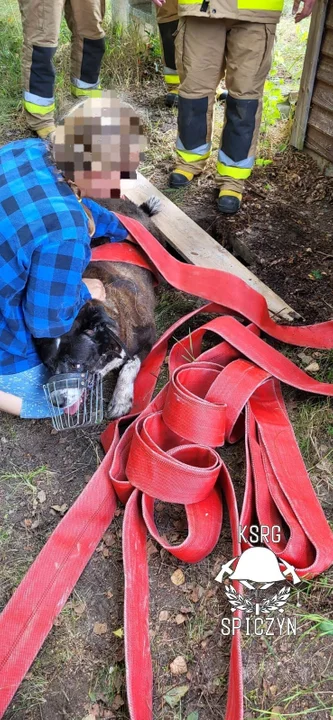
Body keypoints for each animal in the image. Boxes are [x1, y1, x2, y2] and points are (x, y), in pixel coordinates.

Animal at [34, 197, 162, 422]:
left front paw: (121, 399)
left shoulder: (149, 337)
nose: (57, 402)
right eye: (48, 366)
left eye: (76, 365)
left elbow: (130, 365)